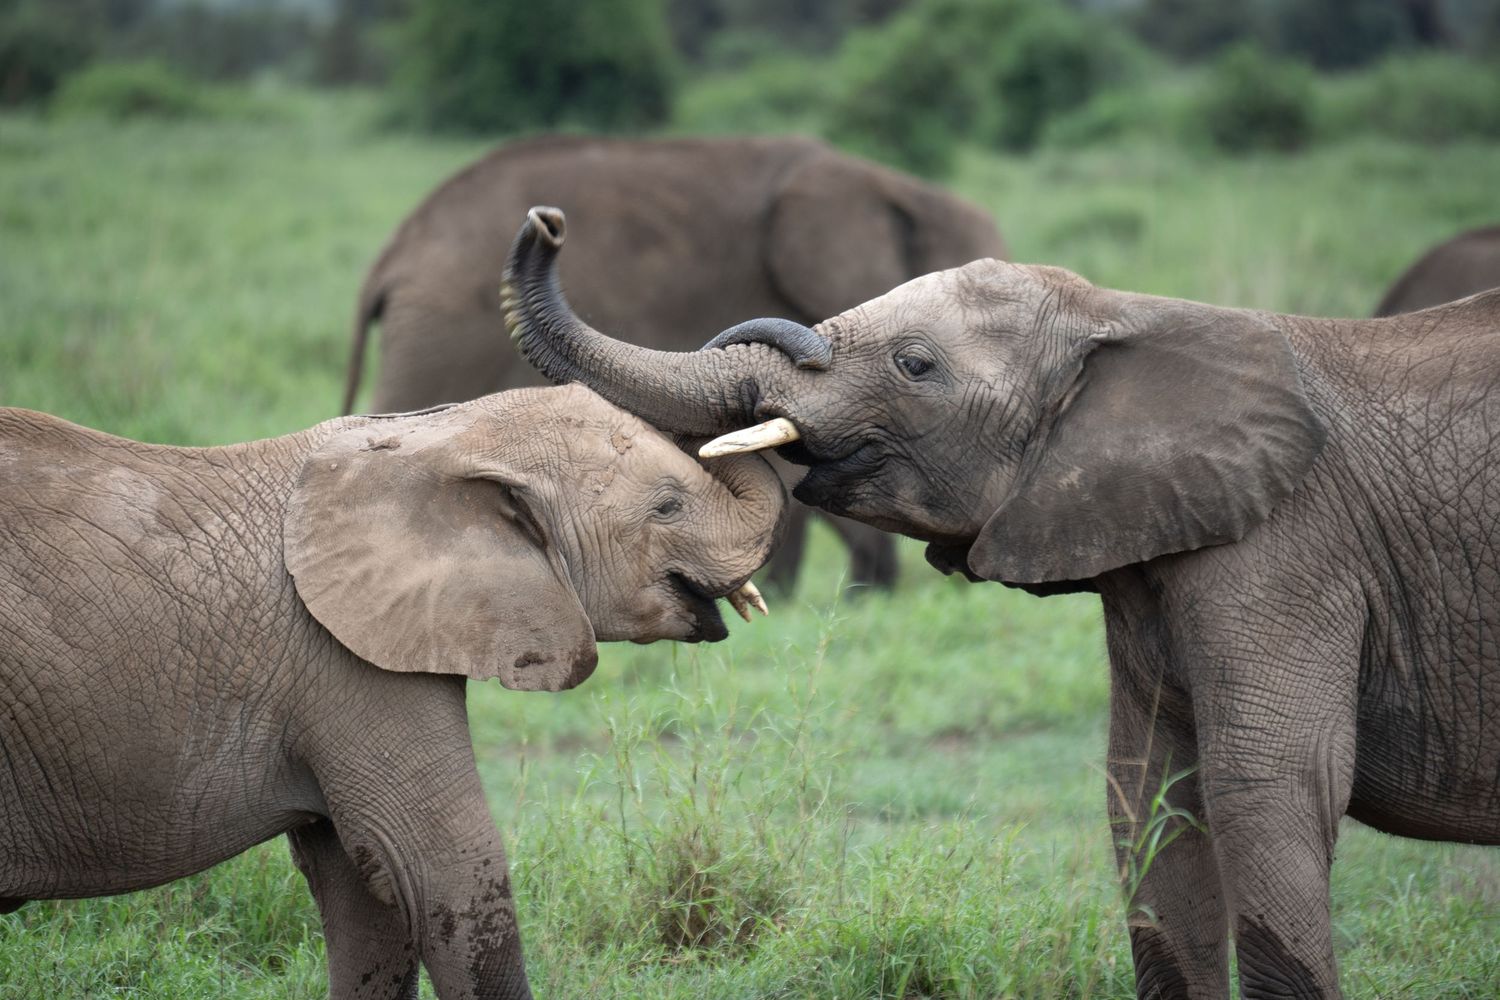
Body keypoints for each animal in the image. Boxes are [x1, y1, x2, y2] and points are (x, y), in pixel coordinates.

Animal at [502, 208, 1500, 1000]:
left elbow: (1265, 787)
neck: (1124, 311)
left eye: (915, 365)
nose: (548, 222)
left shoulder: (1286, 552)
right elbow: (1147, 797)